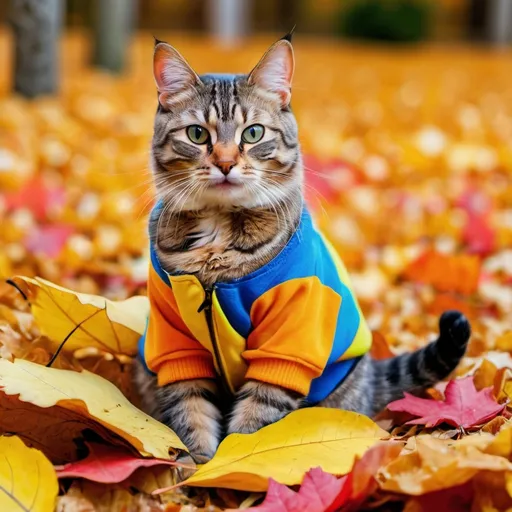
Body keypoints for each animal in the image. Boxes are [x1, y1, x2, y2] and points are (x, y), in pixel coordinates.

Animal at [133, 34, 472, 462]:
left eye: (253, 134)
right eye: (197, 134)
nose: (225, 163)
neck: (219, 238)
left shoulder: (287, 345)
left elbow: (254, 421)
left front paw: (229, 469)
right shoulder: (175, 343)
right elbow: (190, 413)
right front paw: (197, 468)